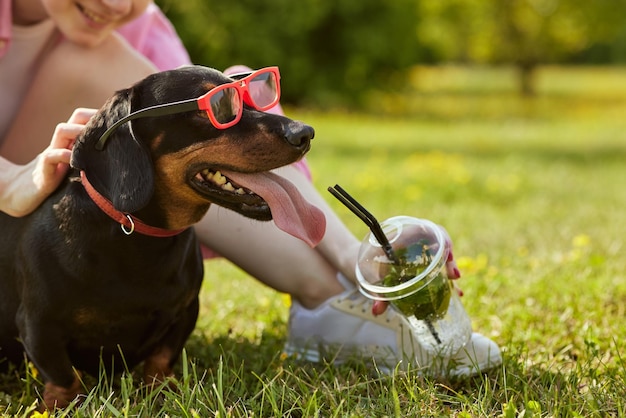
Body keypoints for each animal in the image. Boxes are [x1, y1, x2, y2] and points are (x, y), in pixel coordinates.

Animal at [0, 65, 324, 408]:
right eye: (219, 107)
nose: (305, 133)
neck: (137, 236)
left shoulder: (185, 310)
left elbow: (162, 357)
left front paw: (162, 390)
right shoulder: (38, 323)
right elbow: (62, 375)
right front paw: (63, 404)